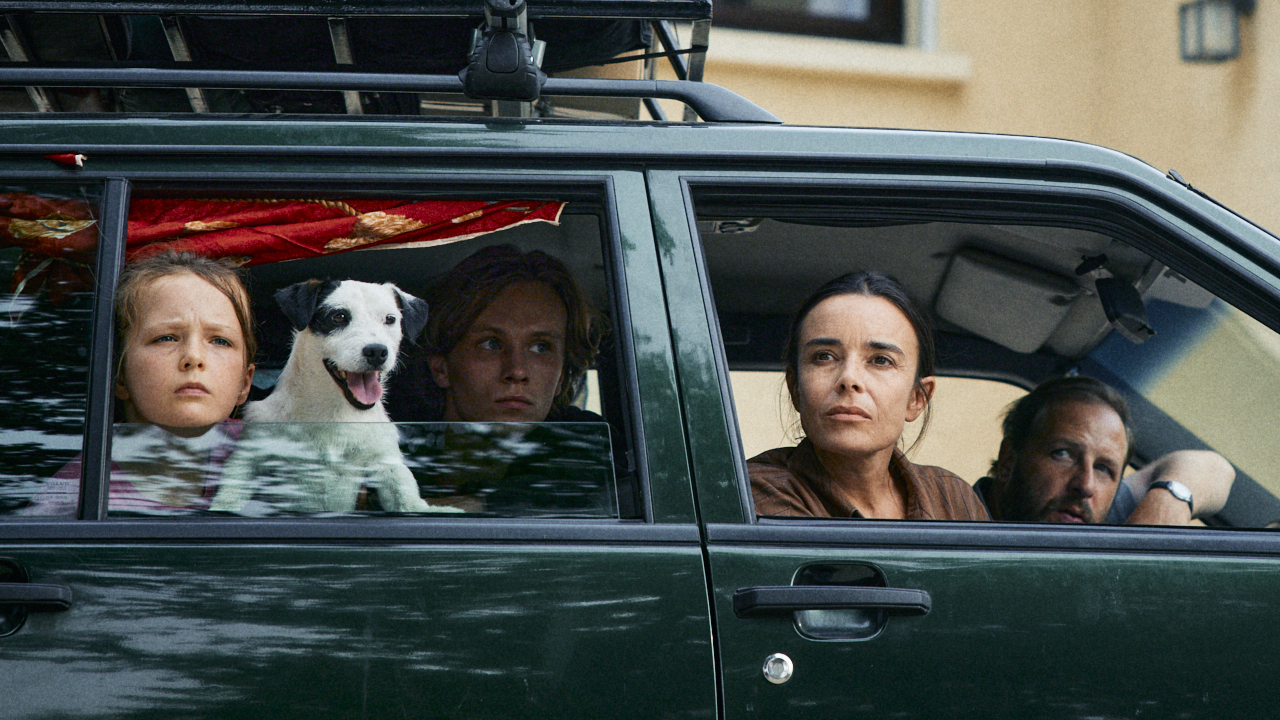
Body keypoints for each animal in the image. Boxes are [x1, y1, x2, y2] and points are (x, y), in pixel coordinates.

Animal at [213, 279, 460, 509]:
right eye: (339, 317)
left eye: (390, 319)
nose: (377, 351)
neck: (337, 411)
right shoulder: (252, 452)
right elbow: (232, 489)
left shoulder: (384, 461)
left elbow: (404, 493)